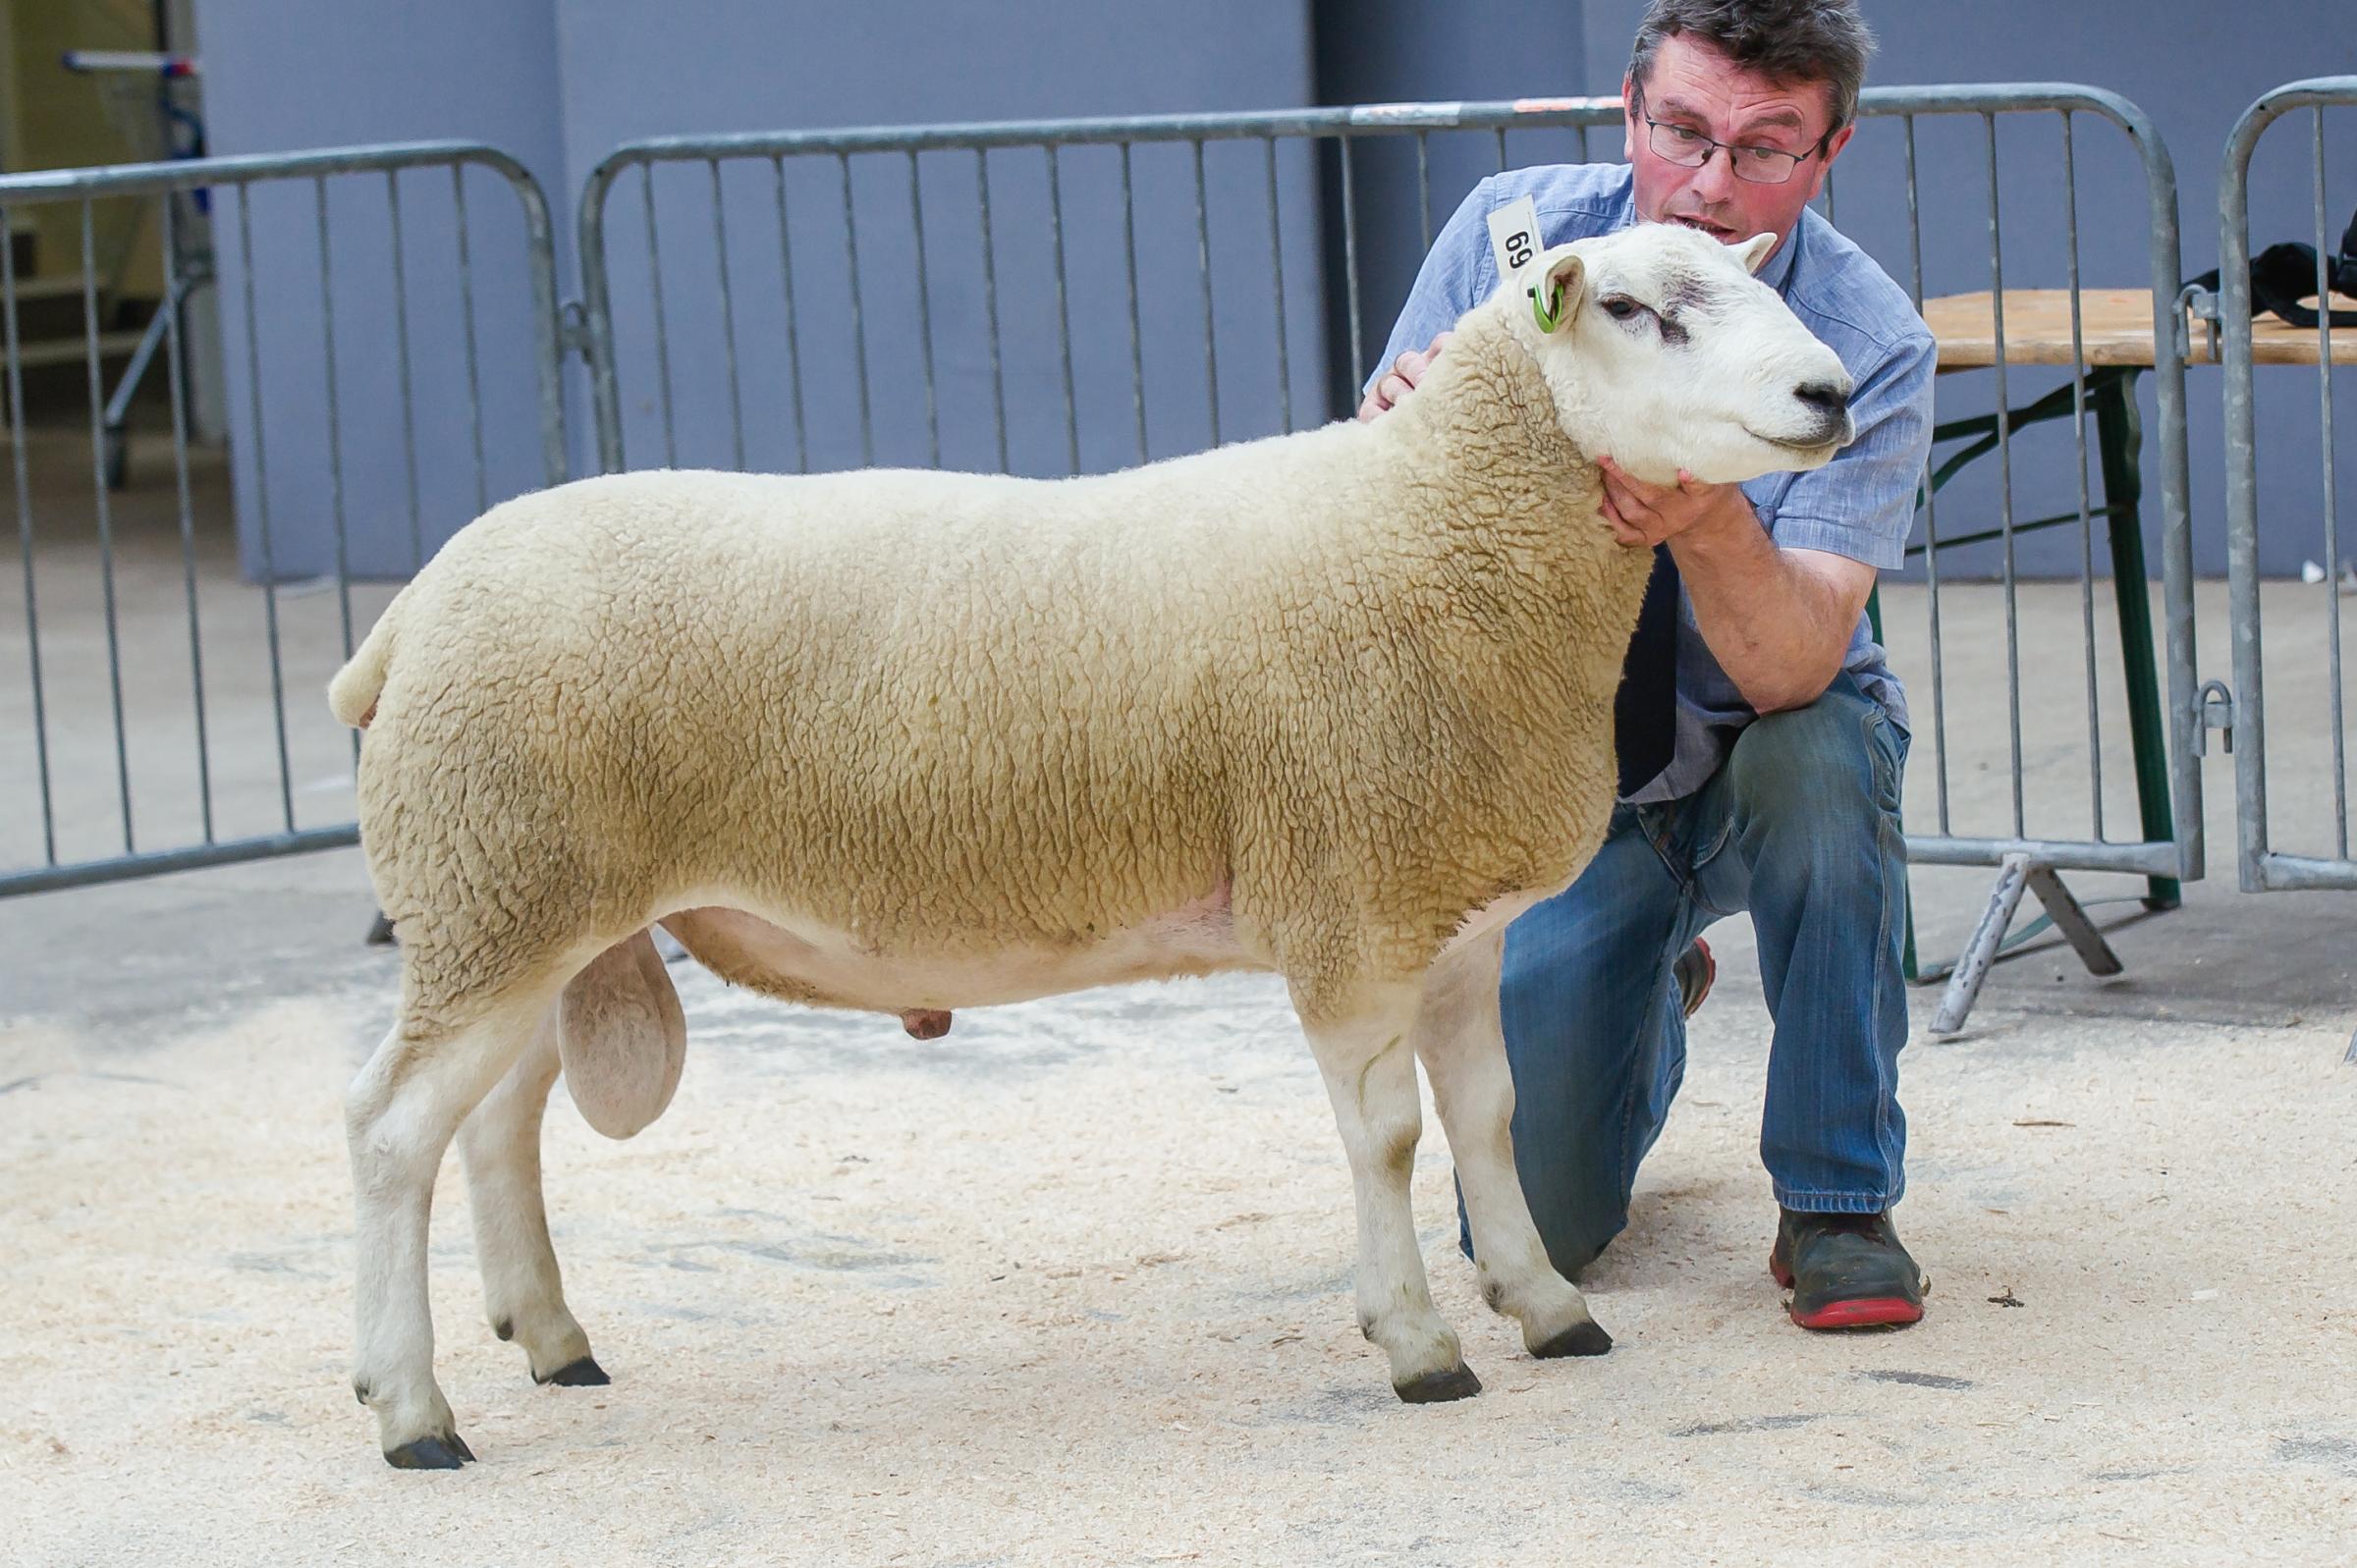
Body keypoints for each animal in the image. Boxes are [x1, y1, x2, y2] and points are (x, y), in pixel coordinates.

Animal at [327, 222, 1857, 1471]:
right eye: (1637, 309)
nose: (1832, 395)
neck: (1437, 528)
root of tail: (408, 613)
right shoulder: (1350, 901)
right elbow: (1389, 1138)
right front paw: (1419, 1346)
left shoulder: (1454, 920)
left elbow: (1493, 1118)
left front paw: (1545, 1308)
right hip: (495, 886)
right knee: (392, 1131)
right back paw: (413, 1411)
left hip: (528, 905)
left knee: (496, 1122)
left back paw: (550, 1337)